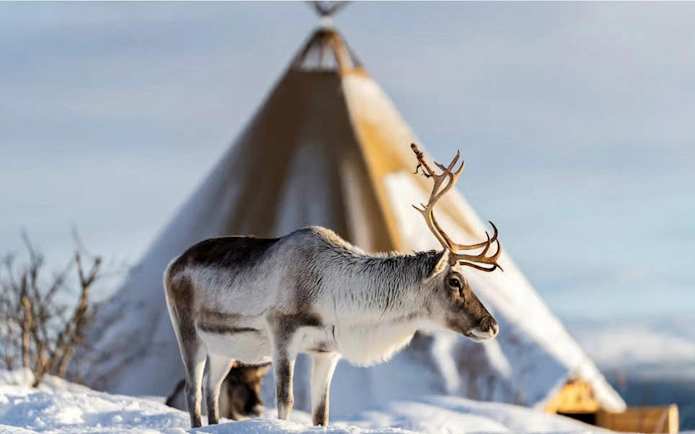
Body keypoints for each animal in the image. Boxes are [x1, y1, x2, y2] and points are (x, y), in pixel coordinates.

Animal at [164, 144, 503, 428]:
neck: (336, 295)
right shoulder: (282, 335)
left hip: (223, 349)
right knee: (193, 390)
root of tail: (173, 265)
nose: (492, 325)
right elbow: (286, 401)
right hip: (189, 333)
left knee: (211, 387)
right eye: (455, 281)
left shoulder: (326, 350)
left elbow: (321, 412)